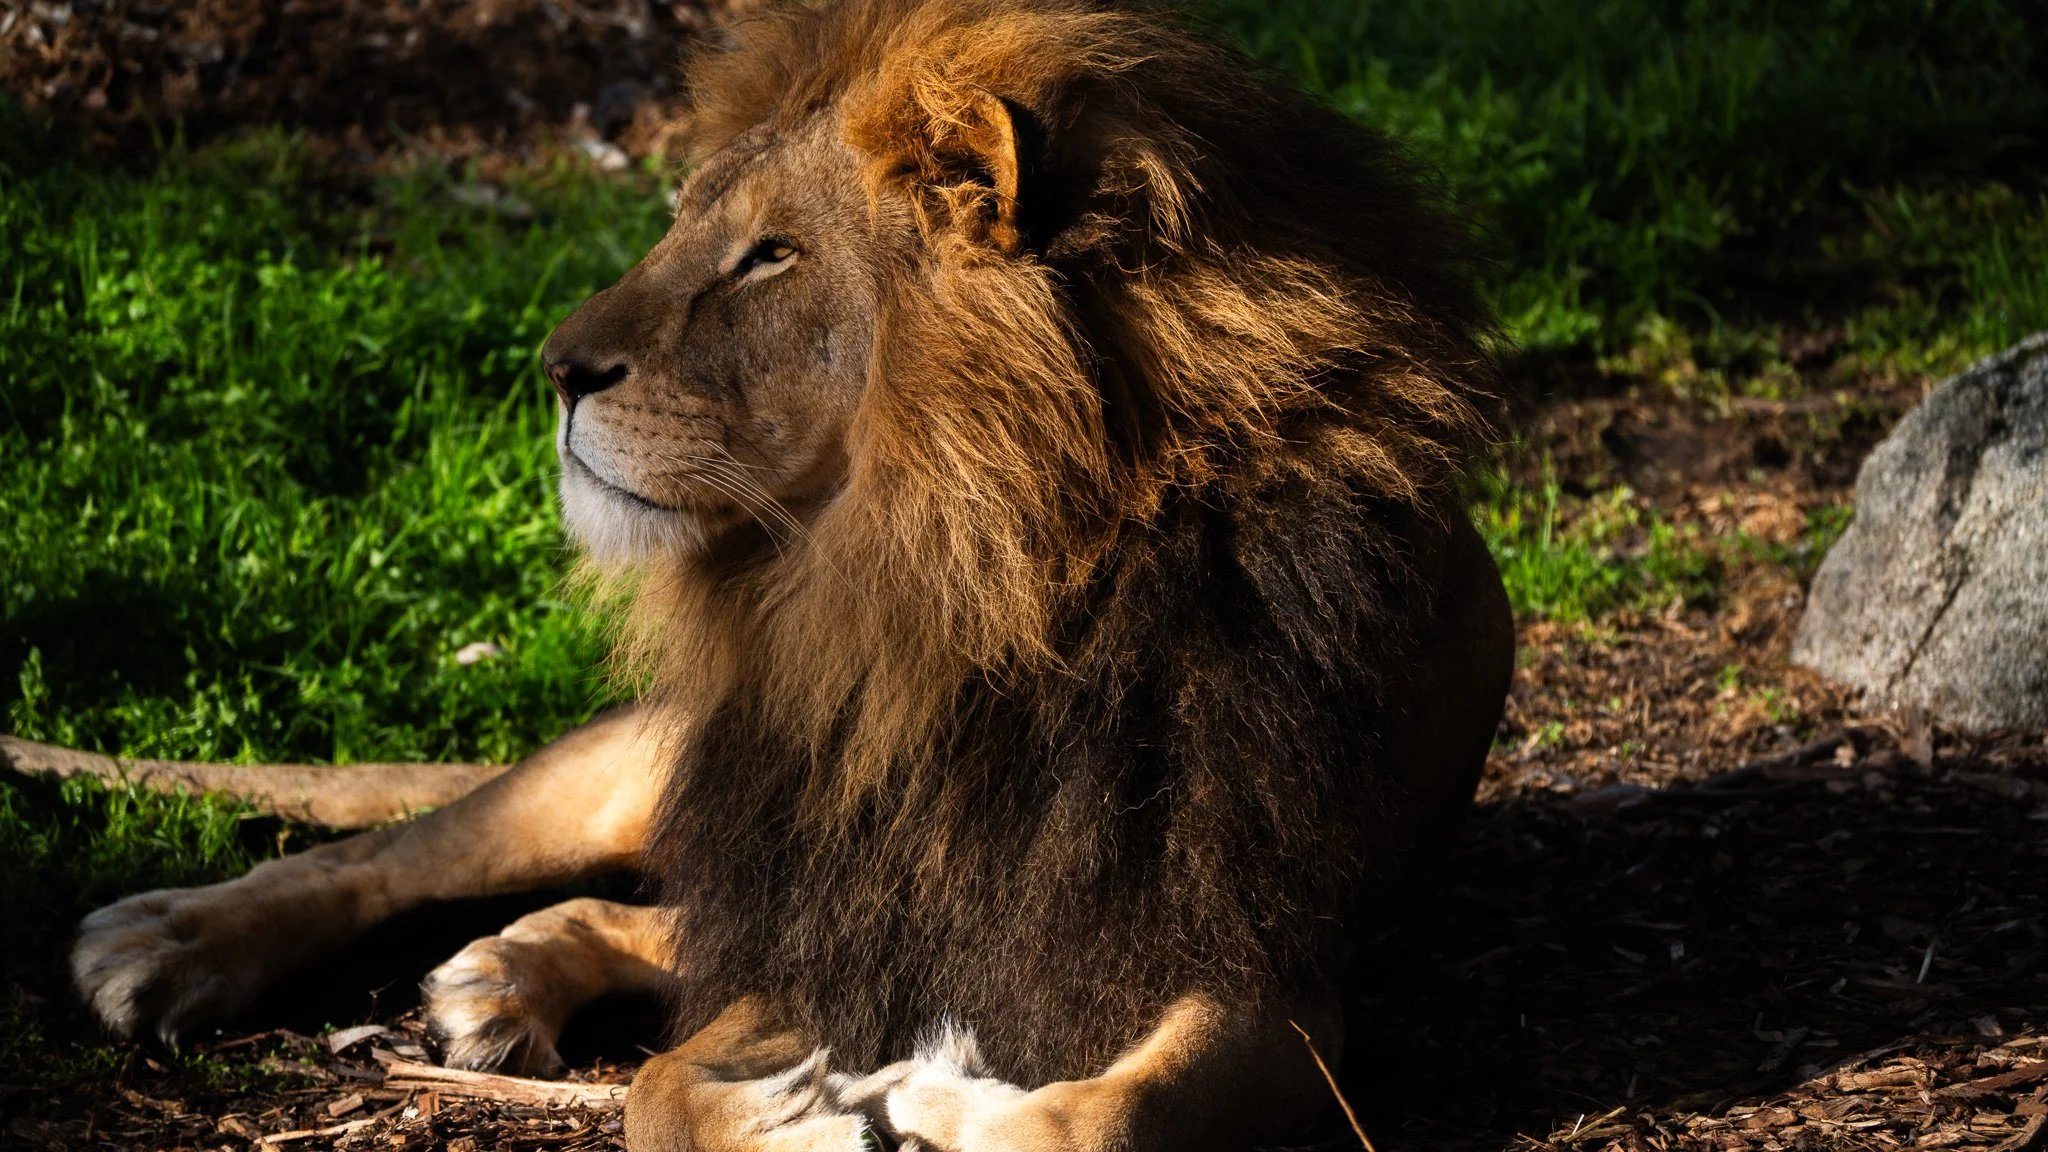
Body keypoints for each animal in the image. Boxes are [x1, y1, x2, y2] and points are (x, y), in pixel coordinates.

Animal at [54, 0, 1515, 1148]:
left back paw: (508, 976)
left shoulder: (1261, 977)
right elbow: (661, 1092)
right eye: (685, 231)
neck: (967, 606)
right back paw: (172, 942)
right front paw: (808, 1122)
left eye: (770, 255)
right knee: (405, 848)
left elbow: (1094, 1118)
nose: (554, 370)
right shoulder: (828, 900)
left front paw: (932, 1101)